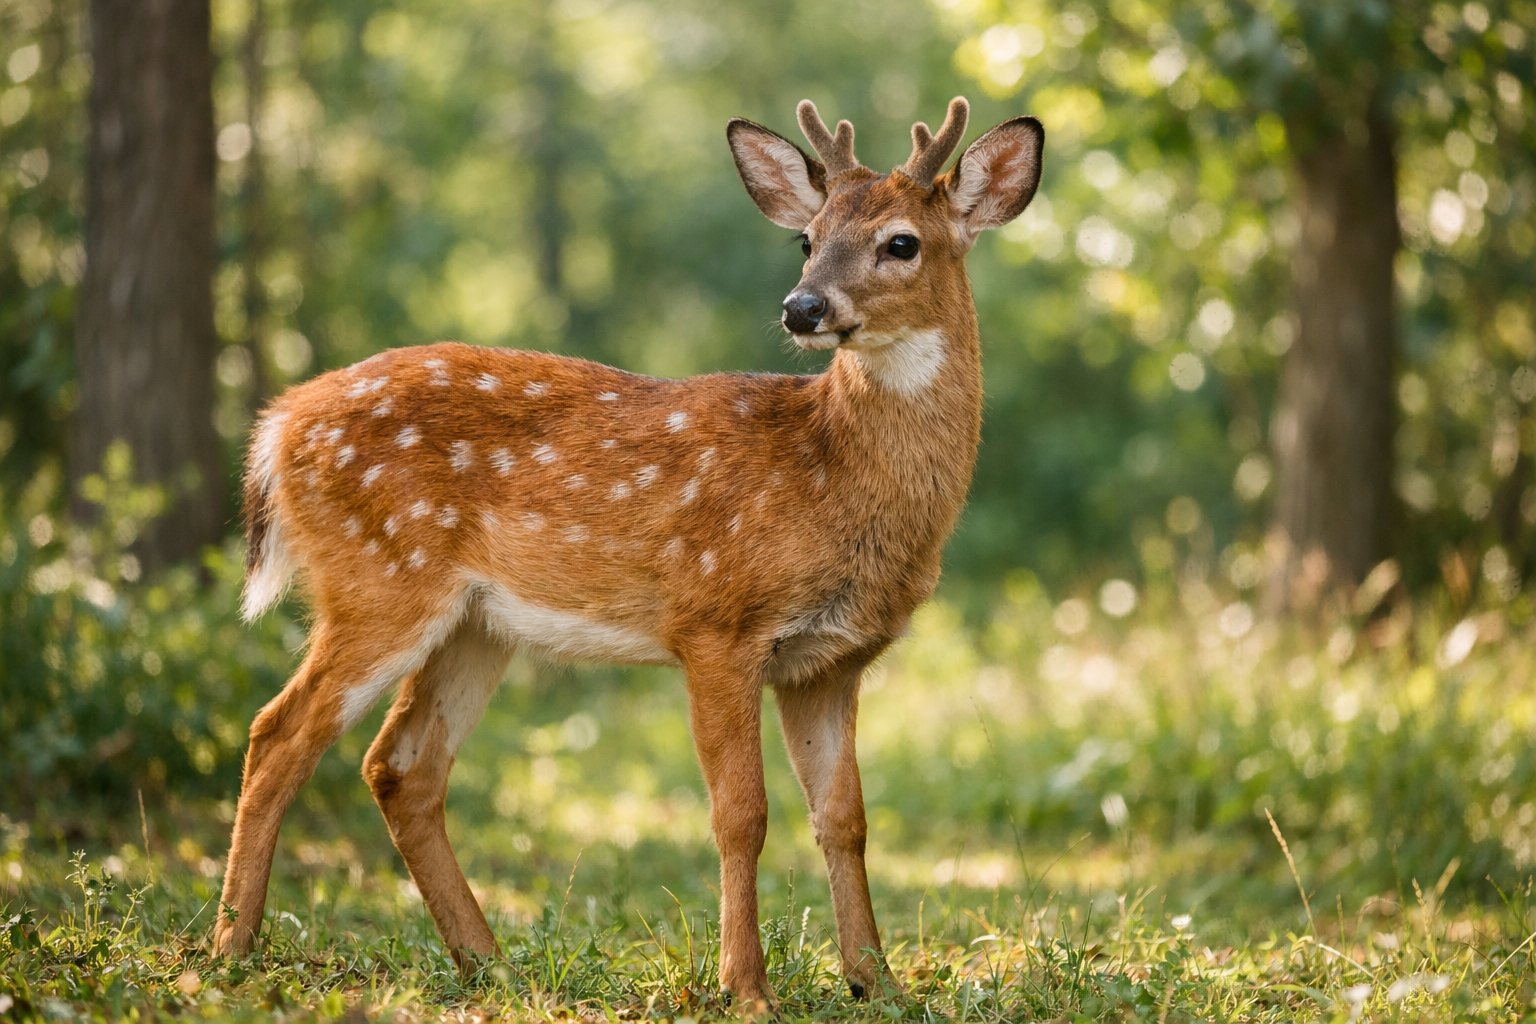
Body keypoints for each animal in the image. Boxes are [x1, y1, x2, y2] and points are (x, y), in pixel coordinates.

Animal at [211, 96, 1044, 1008]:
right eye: (807, 237)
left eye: (901, 243)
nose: (803, 308)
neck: (829, 478)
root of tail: (277, 426)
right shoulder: (715, 622)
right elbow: (741, 814)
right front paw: (747, 989)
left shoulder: (829, 661)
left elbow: (846, 819)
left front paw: (876, 982)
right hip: (379, 580)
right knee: (278, 732)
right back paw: (229, 952)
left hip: (474, 625)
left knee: (400, 766)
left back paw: (491, 965)